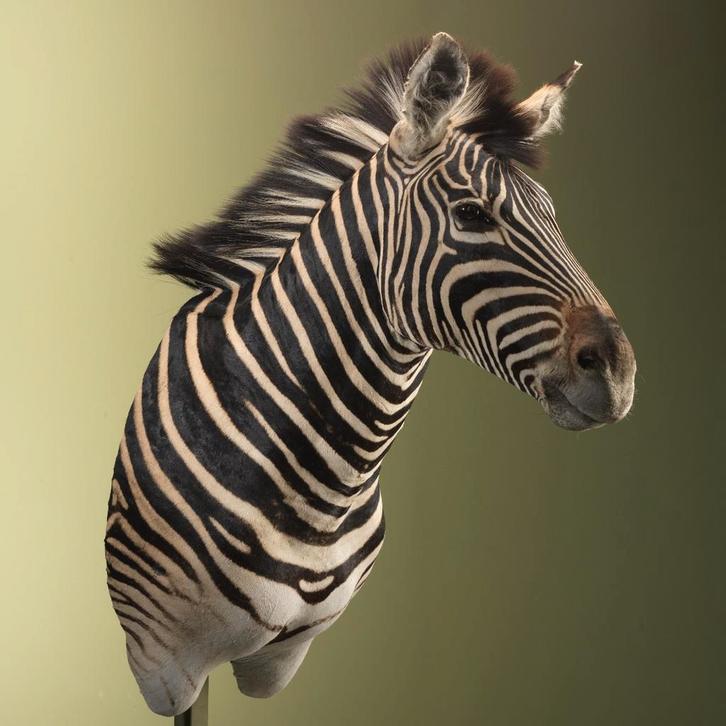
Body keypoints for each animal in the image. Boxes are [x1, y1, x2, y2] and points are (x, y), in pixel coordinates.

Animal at [105, 32, 636, 716]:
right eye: (472, 214)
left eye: (550, 213)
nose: (619, 373)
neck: (323, 488)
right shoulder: (167, 661)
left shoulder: (284, 656)